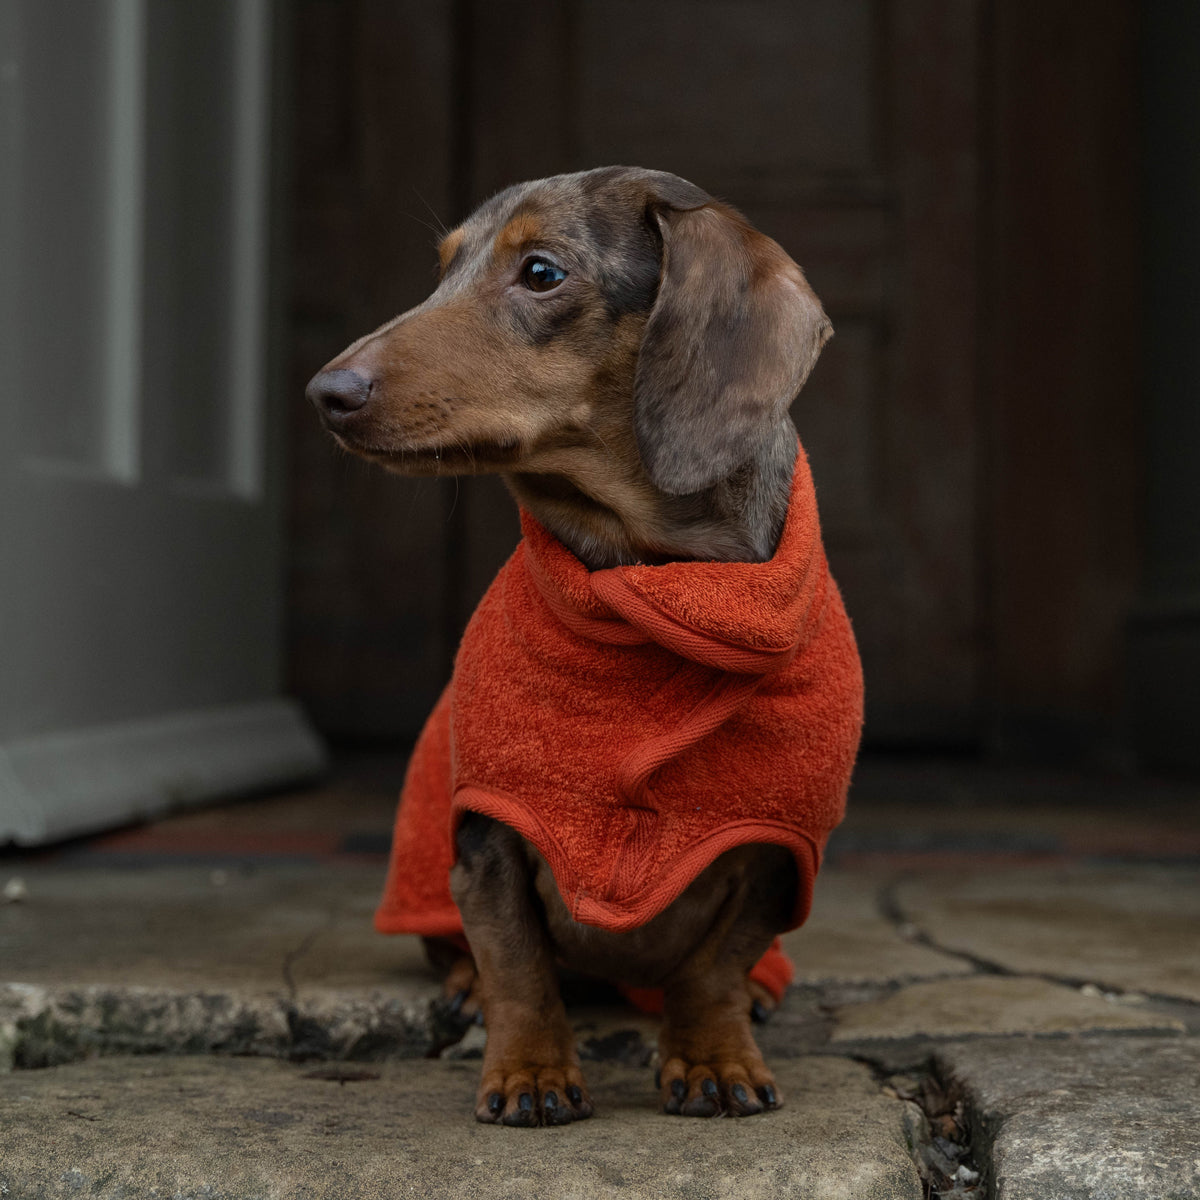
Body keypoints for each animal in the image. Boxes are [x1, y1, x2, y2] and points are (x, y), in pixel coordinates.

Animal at [304, 166, 859, 1123]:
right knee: (466, 955)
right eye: (442, 268)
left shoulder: (778, 852)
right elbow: (519, 966)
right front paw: (530, 1071)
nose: (325, 393)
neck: (648, 586)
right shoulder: (487, 839)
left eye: (541, 273)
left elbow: (714, 968)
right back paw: (464, 990)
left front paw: (713, 1056)